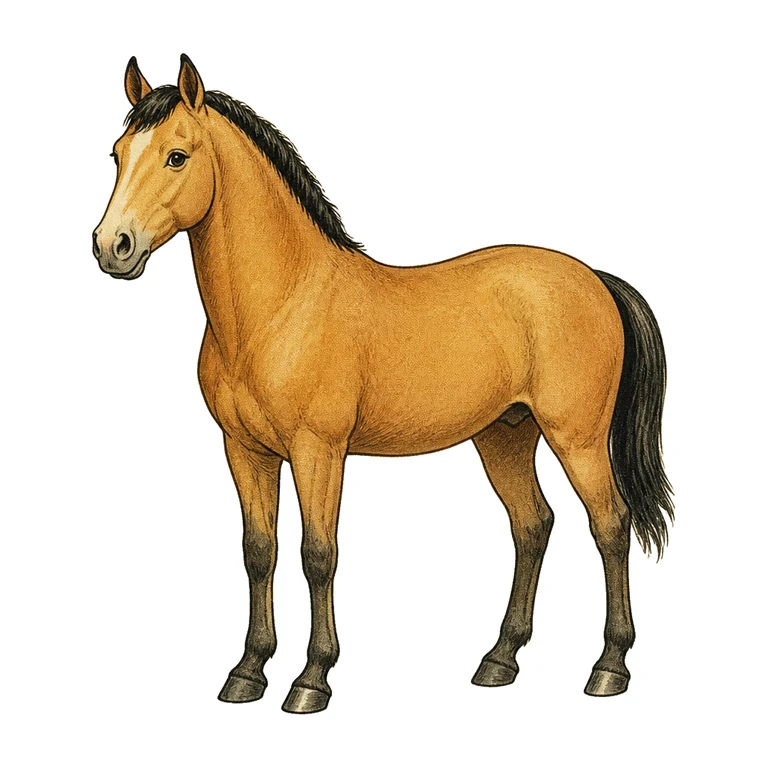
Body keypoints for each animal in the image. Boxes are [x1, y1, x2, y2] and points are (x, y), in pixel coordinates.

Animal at [92, 54, 673, 714]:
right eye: (117, 153)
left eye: (177, 156)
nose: (112, 247)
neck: (282, 304)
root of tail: (595, 279)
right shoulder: (244, 450)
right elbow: (258, 552)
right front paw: (247, 671)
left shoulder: (318, 451)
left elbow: (317, 555)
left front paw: (311, 679)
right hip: (505, 435)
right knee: (532, 526)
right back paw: (499, 660)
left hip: (576, 438)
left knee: (610, 526)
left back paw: (609, 667)